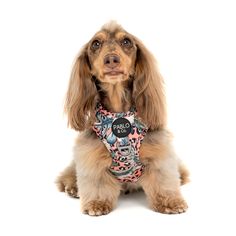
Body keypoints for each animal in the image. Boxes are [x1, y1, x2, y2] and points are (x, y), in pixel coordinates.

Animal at [55, 21, 190, 216]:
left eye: (126, 41)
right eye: (96, 44)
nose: (111, 59)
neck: (118, 113)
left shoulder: (159, 152)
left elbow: (163, 179)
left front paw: (170, 201)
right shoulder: (91, 155)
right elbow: (96, 182)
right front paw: (97, 203)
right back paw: (72, 186)